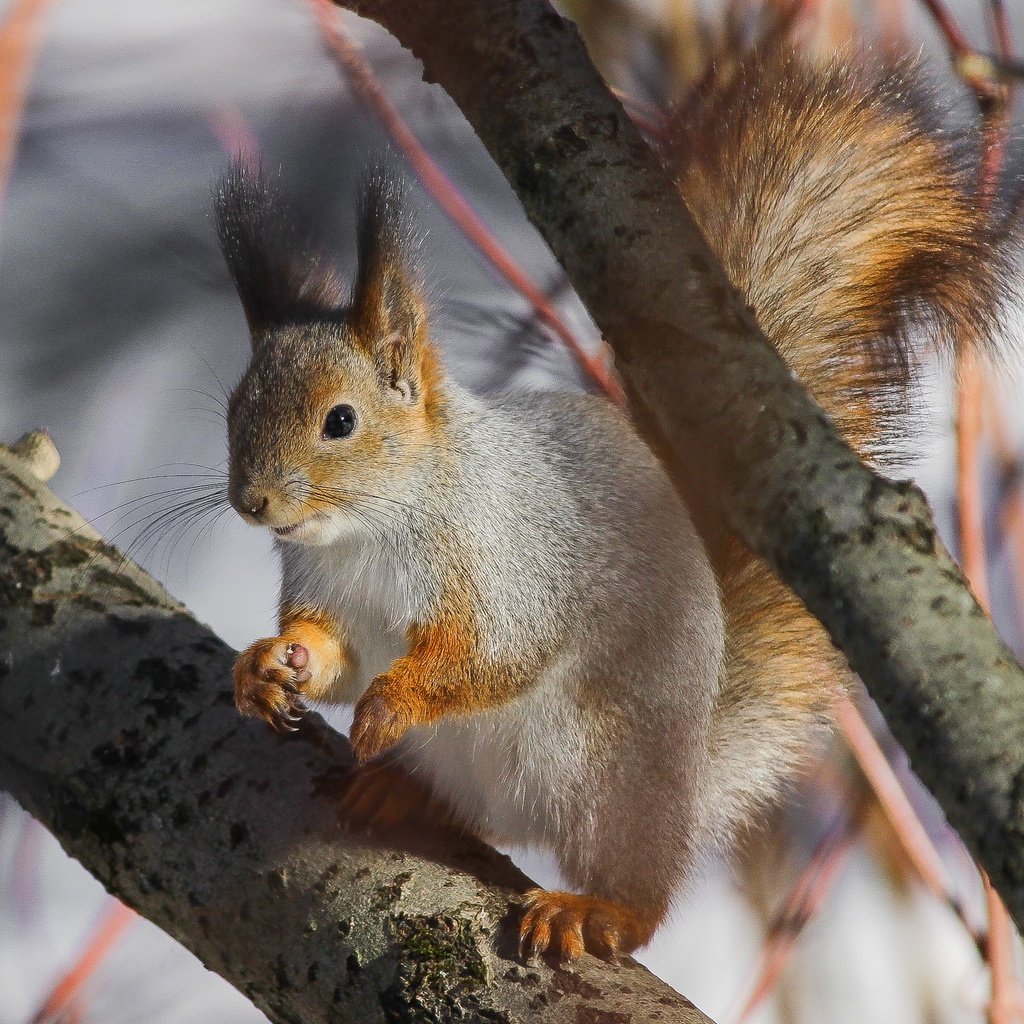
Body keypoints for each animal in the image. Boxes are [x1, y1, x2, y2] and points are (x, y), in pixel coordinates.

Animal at [214, 44, 999, 962]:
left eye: (340, 421)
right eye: (233, 408)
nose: (252, 503)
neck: (366, 531)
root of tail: (691, 771)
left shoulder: (509, 566)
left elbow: (488, 657)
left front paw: (390, 703)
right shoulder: (327, 590)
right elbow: (329, 651)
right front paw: (268, 663)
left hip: (610, 773)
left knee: (639, 890)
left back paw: (594, 909)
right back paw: (400, 795)